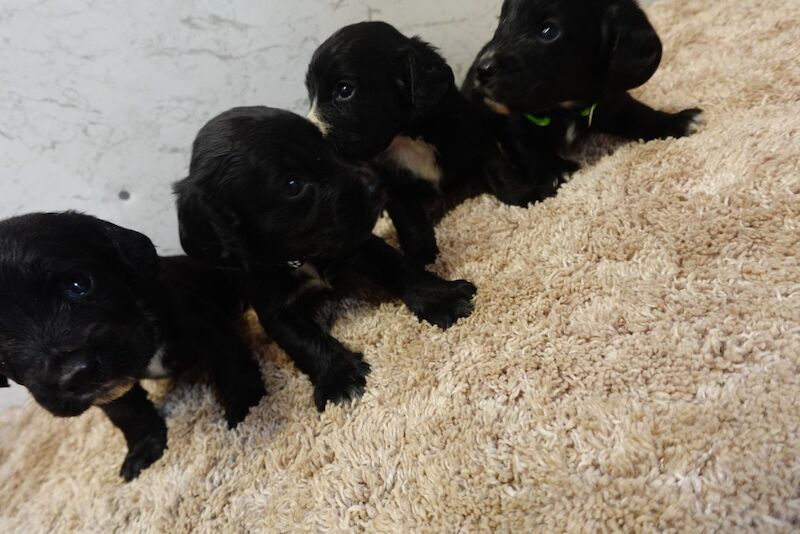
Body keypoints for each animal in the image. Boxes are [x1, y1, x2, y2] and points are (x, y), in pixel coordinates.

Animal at [0, 213, 268, 482]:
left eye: (79, 285)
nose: (75, 373)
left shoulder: (203, 325)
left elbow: (230, 365)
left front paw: (248, 408)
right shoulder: (111, 393)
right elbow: (129, 414)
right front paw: (144, 450)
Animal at [175, 105, 476, 414]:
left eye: (326, 146)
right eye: (292, 184)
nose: (377, 186)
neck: (297, 258)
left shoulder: (358, 243)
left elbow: (398, 266)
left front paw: (440, 298)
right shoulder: (273, 308)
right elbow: (304, 341)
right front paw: (340, 377)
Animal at [304, 21, 556, 268]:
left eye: (344, 90)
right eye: (311, 93)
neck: (407, 137)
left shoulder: (475, 139)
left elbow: (502, 175)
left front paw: (532, 198)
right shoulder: (393, 182)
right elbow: (409, 219)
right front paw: (421, 257)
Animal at [466, 0, 704, 180]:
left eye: (549, 31)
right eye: (503, 20)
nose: (482, 69)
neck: (566, 108)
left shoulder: (611, 101)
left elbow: (641, 115)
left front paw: (677, 120)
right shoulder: (512, 124)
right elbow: (527, 148)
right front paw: (557, 169)